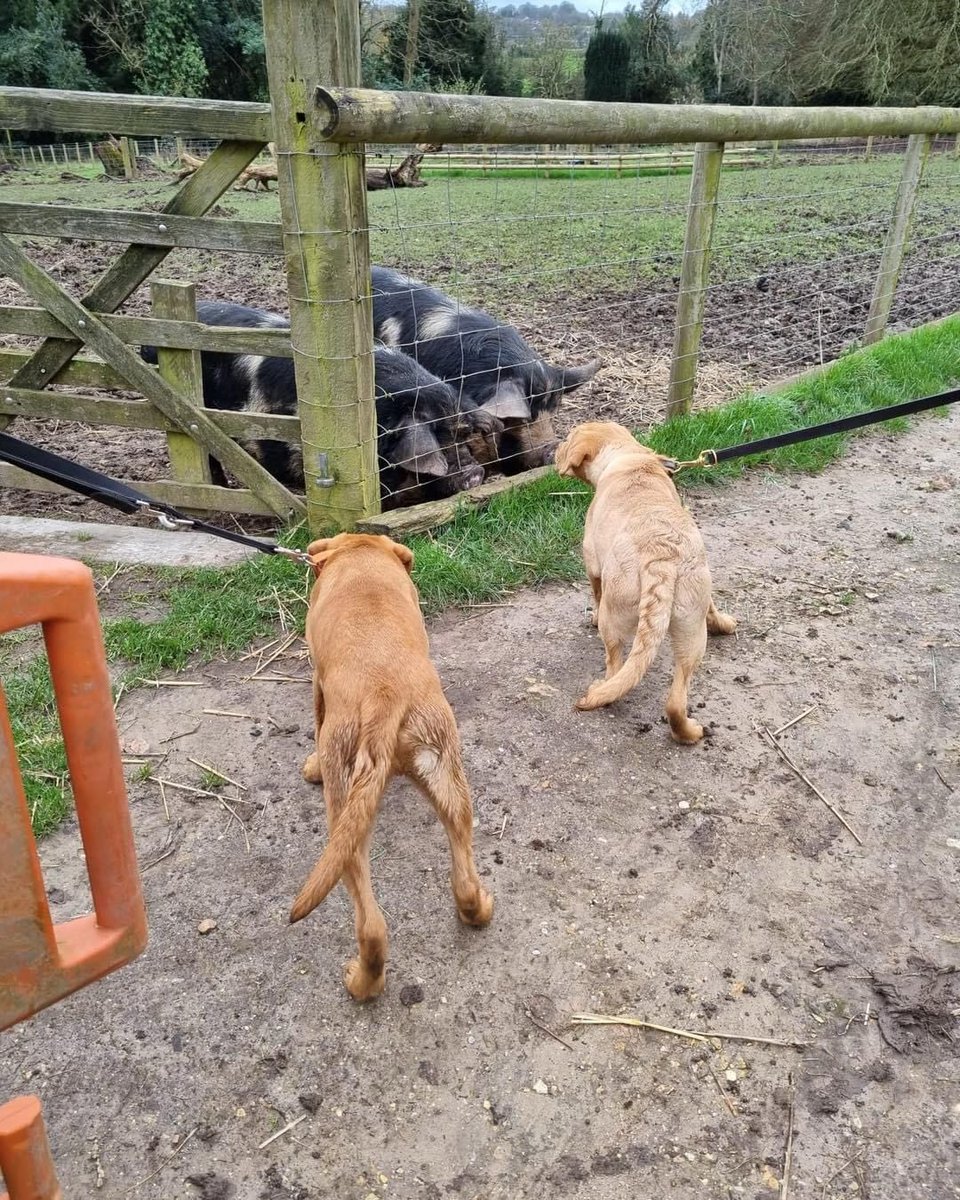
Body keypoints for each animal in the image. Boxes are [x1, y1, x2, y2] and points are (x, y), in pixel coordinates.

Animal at [554, 422, 734, 739]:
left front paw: (591, 616)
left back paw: (602, 689)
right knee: (676, 699)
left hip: (614, 619)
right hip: (692, 628)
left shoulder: (592, 562)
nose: (554, 450)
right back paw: (690, 733)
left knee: (615, 666)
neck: (629, 456)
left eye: (568, 439)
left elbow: (595, 592)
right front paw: (723, 622)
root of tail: (660, 556)